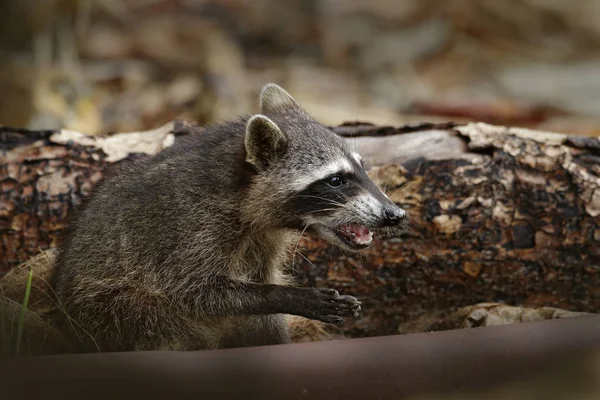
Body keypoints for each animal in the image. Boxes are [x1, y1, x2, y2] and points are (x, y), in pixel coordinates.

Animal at [51, 83, 408, 352]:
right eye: (336, 180)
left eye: (362, 167)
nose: (396, 215)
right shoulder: (189, 231)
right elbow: (196, 294)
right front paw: (288, 296)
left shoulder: (264, 240)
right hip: (115, 310)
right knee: (153, 319)